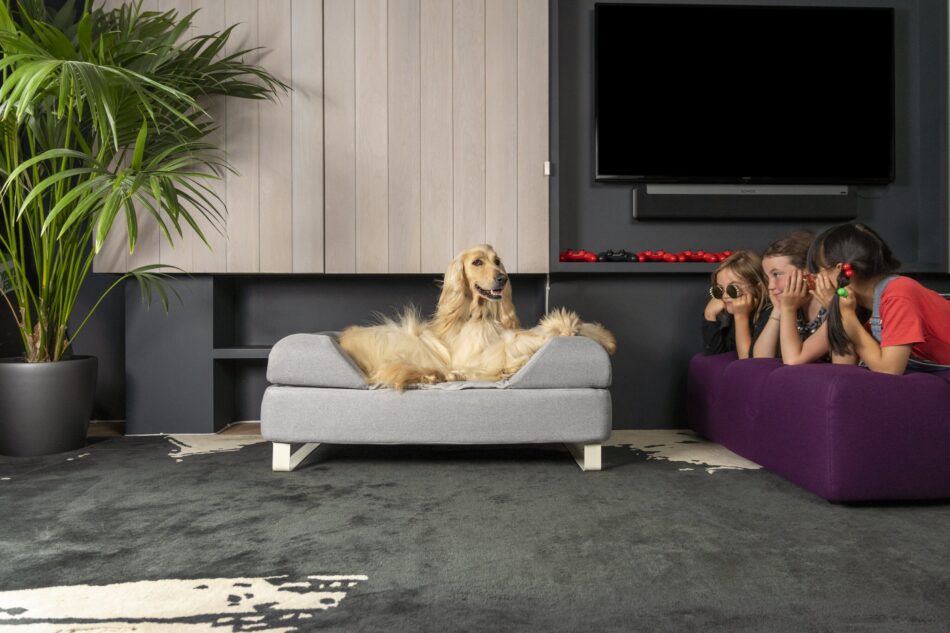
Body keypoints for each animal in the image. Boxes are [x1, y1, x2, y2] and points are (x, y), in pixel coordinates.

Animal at [340, 243, 616, 388]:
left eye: (498, 261)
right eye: (477, 262)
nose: (503, 279)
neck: (481, 315)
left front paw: (601, 336)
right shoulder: (472, 354)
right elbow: (517, 344)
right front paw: (563, 326)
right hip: (402, 338)